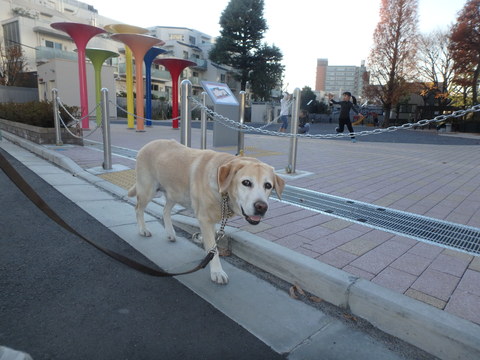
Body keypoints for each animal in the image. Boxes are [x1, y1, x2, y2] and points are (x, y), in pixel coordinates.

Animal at [127, 141, 284, 284]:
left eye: (268, 185)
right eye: (246, 182)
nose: (261, 207)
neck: (223, 193)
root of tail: (147, 144)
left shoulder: (211, 220)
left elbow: (212, 241)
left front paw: (205, 246)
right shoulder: (205, 219)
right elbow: (213, 248)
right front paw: (217, 271)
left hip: (175, 193)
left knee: (165, 210)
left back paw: (170, 233)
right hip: (148, 190)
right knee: (138, 208)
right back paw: (143, 230)